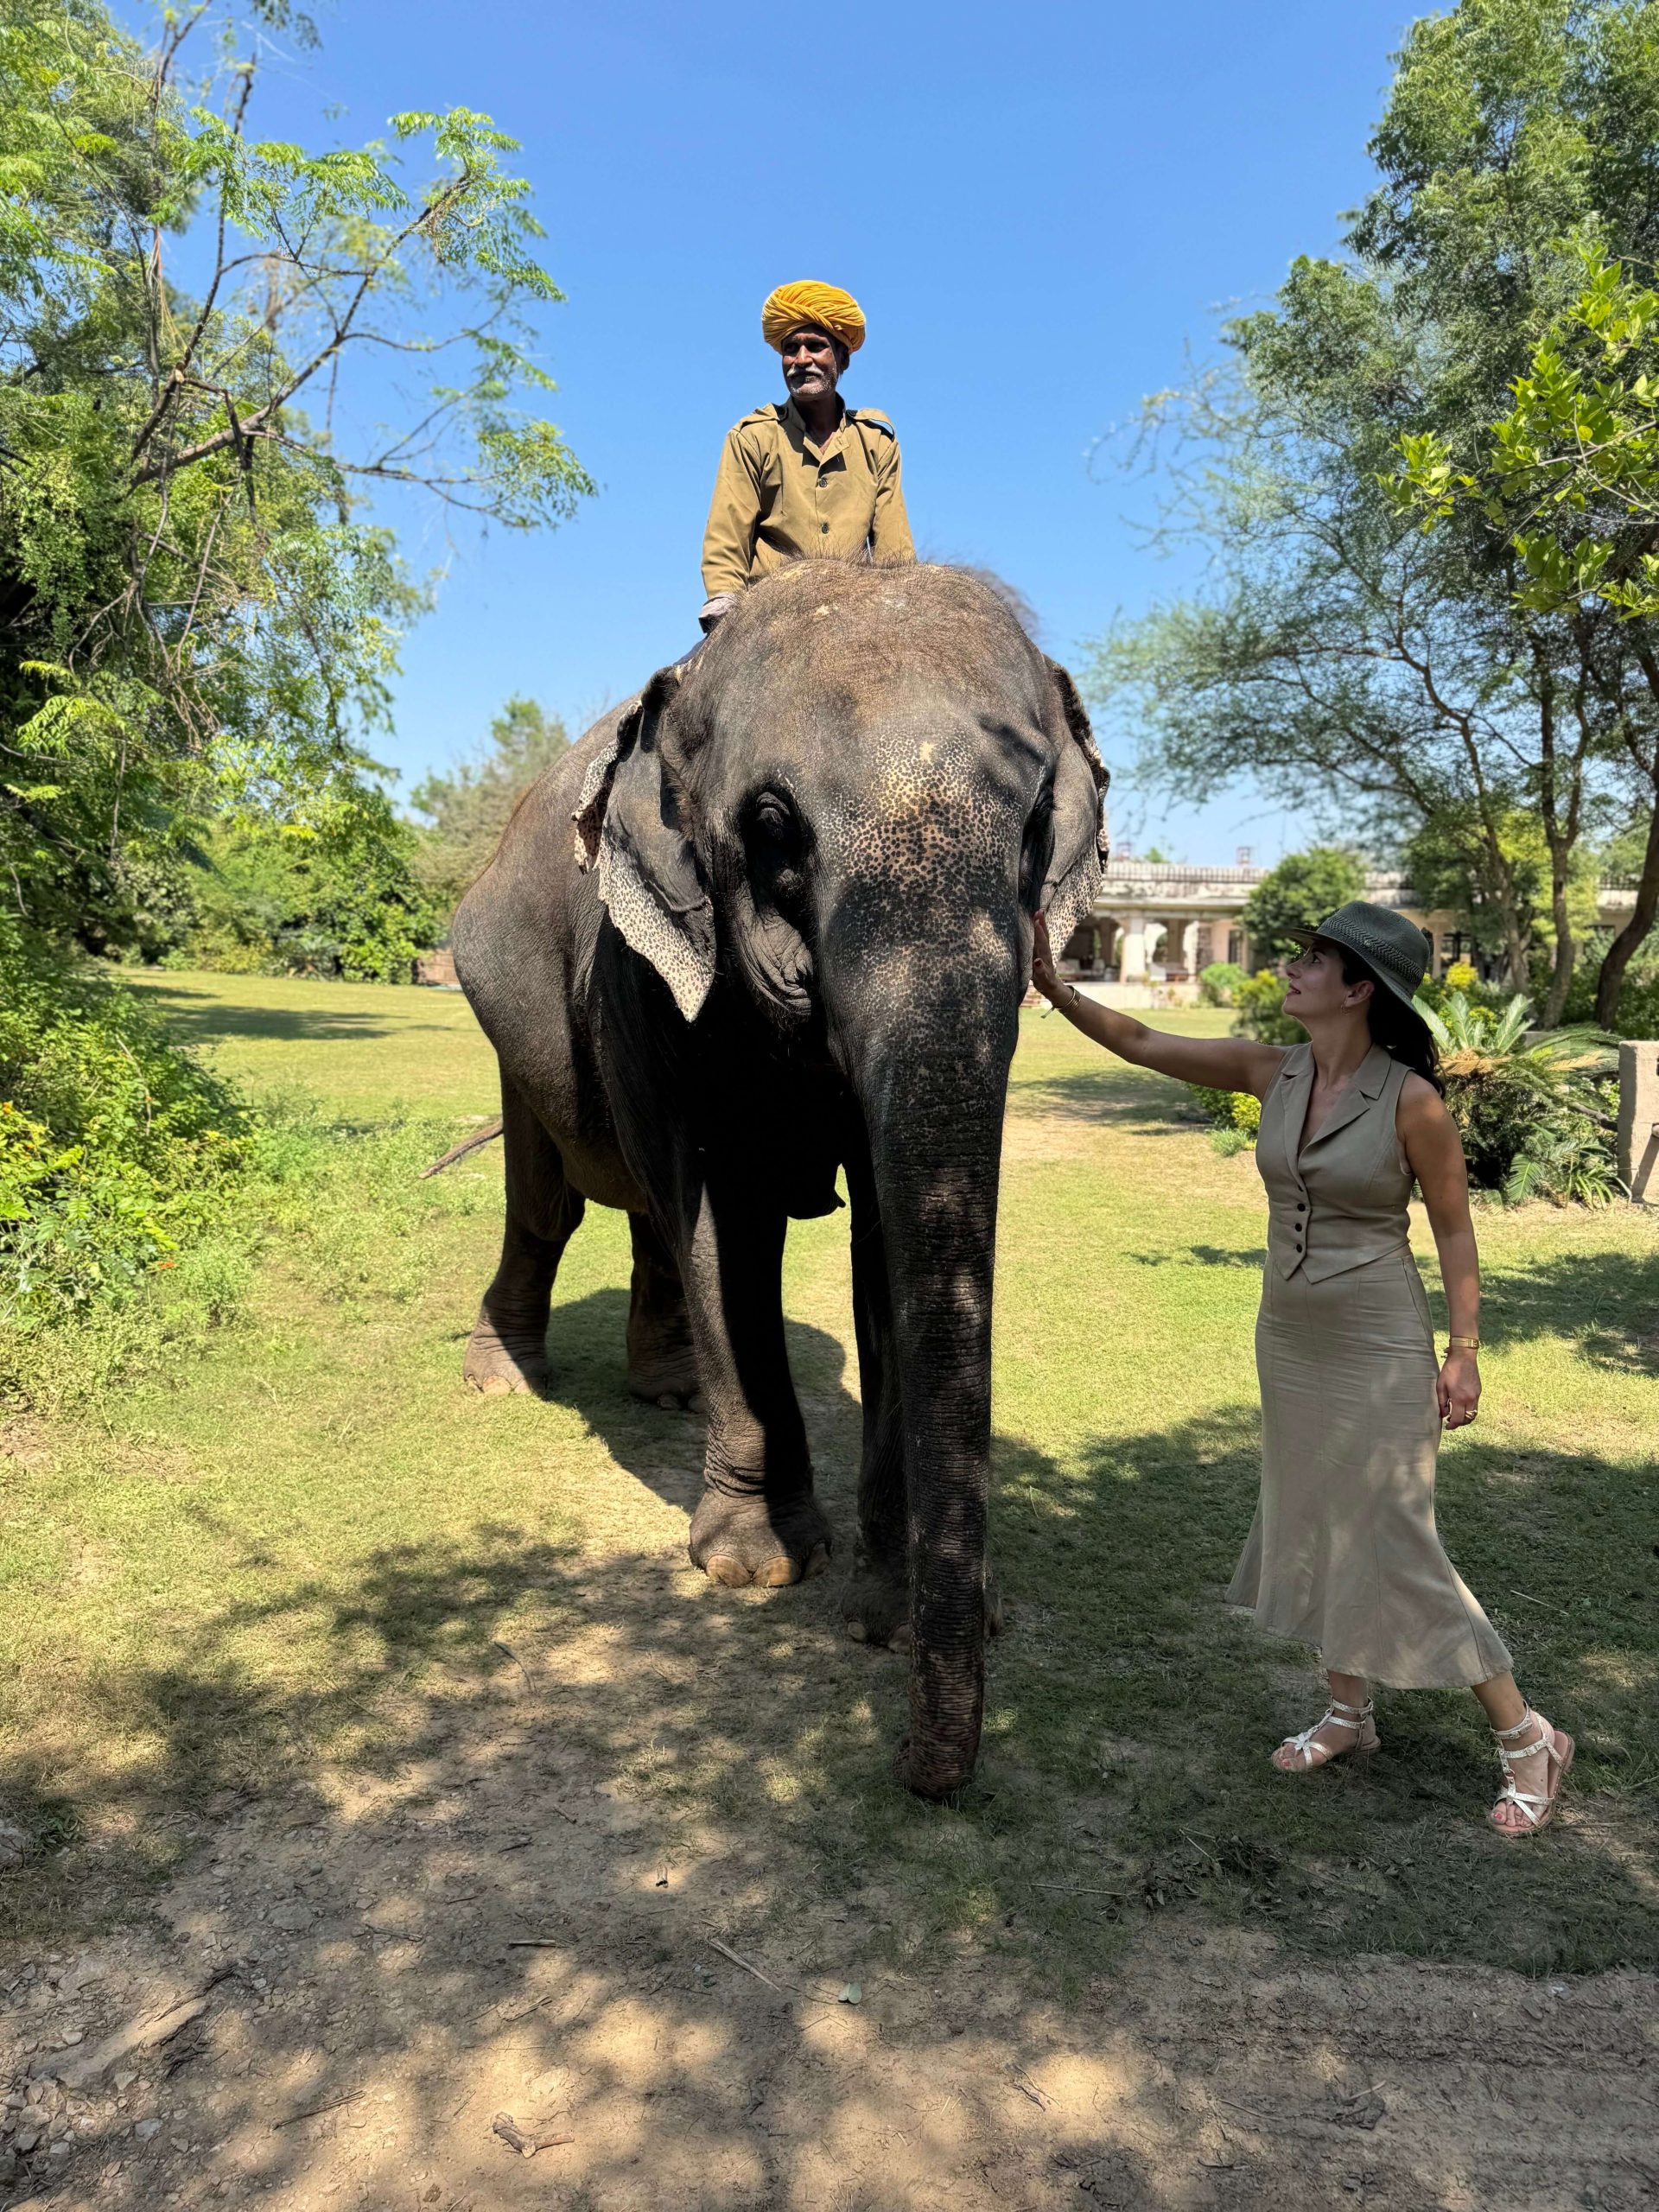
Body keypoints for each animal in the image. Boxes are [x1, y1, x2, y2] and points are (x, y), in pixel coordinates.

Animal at [449, 560, 1108, 1798]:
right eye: (769, 827)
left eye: (1039, 823)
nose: (918, 1775)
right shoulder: (655, 971)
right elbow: (729, 1223)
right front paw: (755, 1568)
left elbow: (884, 1245)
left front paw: (891, 1611)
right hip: (514, 1024)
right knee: (548, 1203)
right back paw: (505, 1382)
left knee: (644, 1216)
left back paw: (664, 1391)